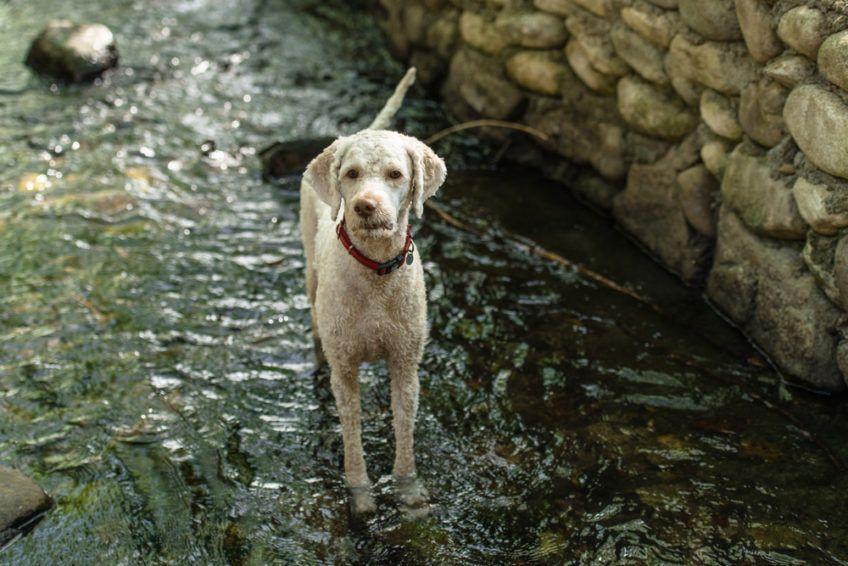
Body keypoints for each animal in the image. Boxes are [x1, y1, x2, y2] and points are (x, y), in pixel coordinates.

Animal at [300, 70, 448, 516]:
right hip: (310, 275)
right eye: (351, 174)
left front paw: (407, 488)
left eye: (396, 174)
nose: (365, 206)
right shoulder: (345, 369)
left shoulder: (405, 364)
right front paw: (360, 492)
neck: (376, 272)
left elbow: (405, 429)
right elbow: (351, 435)